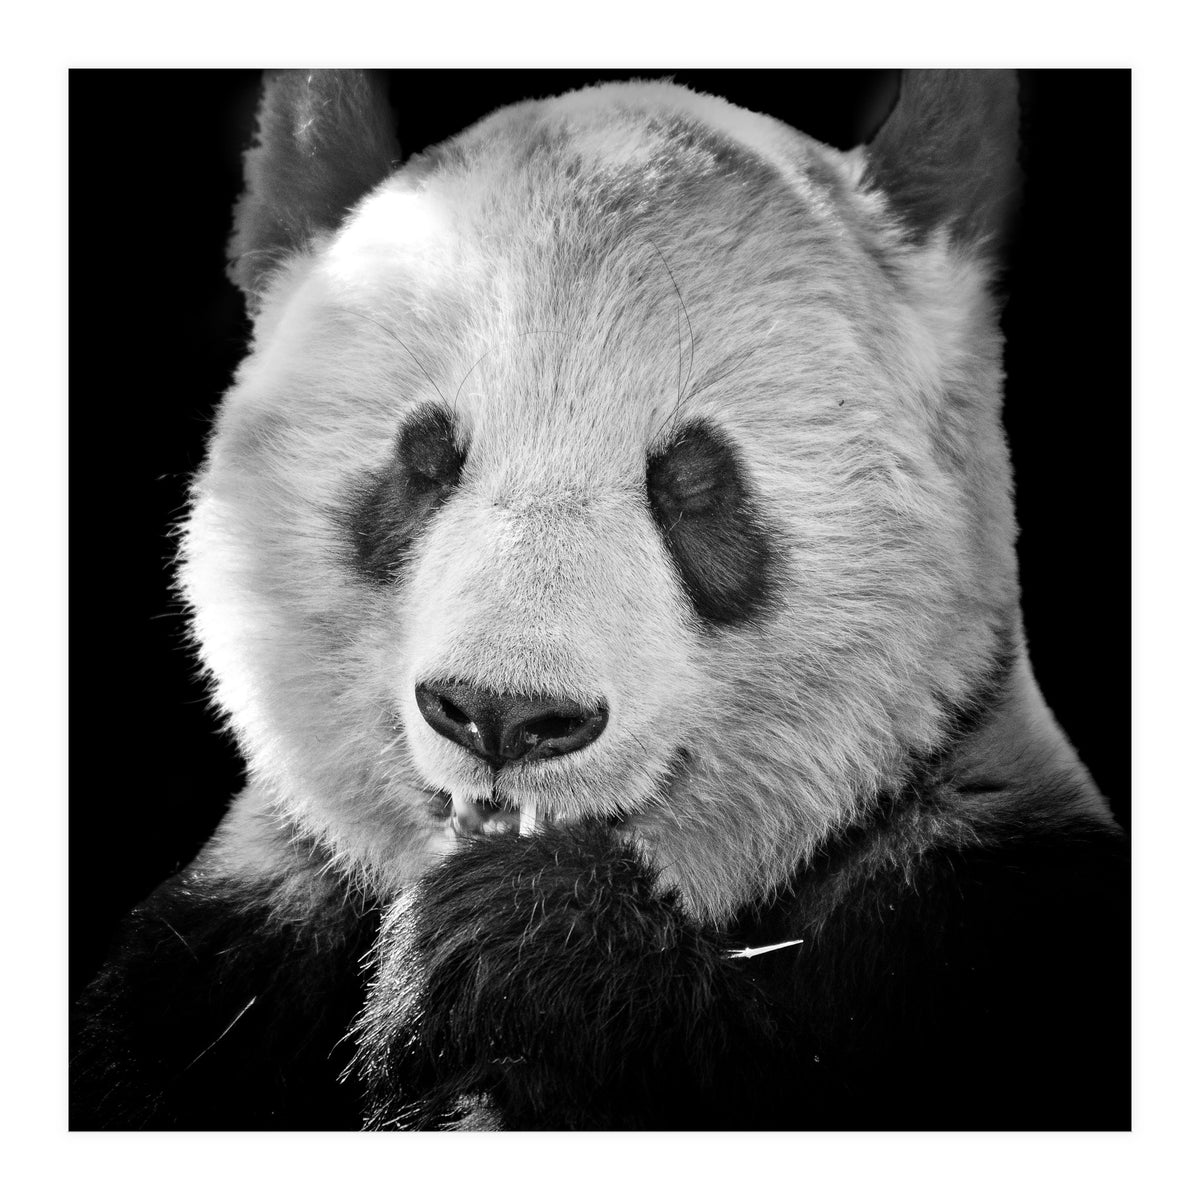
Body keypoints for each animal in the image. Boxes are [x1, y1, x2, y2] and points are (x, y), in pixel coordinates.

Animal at [71, 69, 1129, 1132]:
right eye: (425, 460)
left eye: (694, 484)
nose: (503, 714)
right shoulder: (226, 955)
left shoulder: (976, 912)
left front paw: (524, 947)